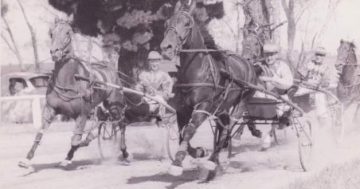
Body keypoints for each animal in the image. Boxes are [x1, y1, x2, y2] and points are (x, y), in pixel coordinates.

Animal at [18, 19, 129, 170]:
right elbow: (40, 133)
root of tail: (110, 67)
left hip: (115, 104)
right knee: (106, 121)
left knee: (121, 123)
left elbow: (76, 140)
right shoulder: (50, 109)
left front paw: (72, 153)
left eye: (68, 32)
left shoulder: (82, 113)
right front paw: (27, 159)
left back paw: (125, 153)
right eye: (51, 33)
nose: (55, 52)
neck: (69, 81)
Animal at [160, 1, 256, 179]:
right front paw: (198, 151)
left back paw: (213, 160)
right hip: (223, 107)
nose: (166, 47)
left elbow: (189, 130)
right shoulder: (183, 109)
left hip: (242, 101)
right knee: (223, 126)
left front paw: (177, 162)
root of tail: (249, 64)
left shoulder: (203, 107)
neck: (196, 71)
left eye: (187, 24)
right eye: (166, 23)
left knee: (228, 128)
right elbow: (182, 134)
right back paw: (214, 160)